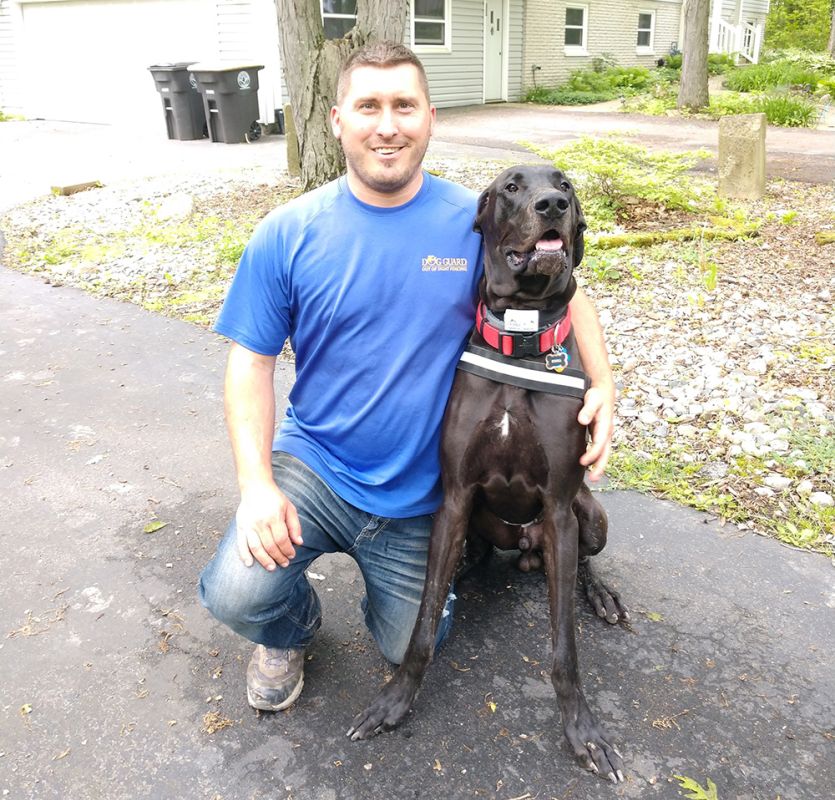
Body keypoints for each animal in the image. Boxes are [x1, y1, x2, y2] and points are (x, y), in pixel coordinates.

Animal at [346, 166, 628, 784]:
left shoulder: (559, 508)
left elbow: (564, 648)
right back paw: (467, 570)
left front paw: (584, 732)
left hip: (589, 515)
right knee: (469, 557)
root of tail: (523, 549)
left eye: (566, 185)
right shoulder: (454, 496)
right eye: (512, 188)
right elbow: (423, 623)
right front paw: (395, 701)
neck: (521, 342)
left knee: (584, 560)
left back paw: (601, 594)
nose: (552, 205)